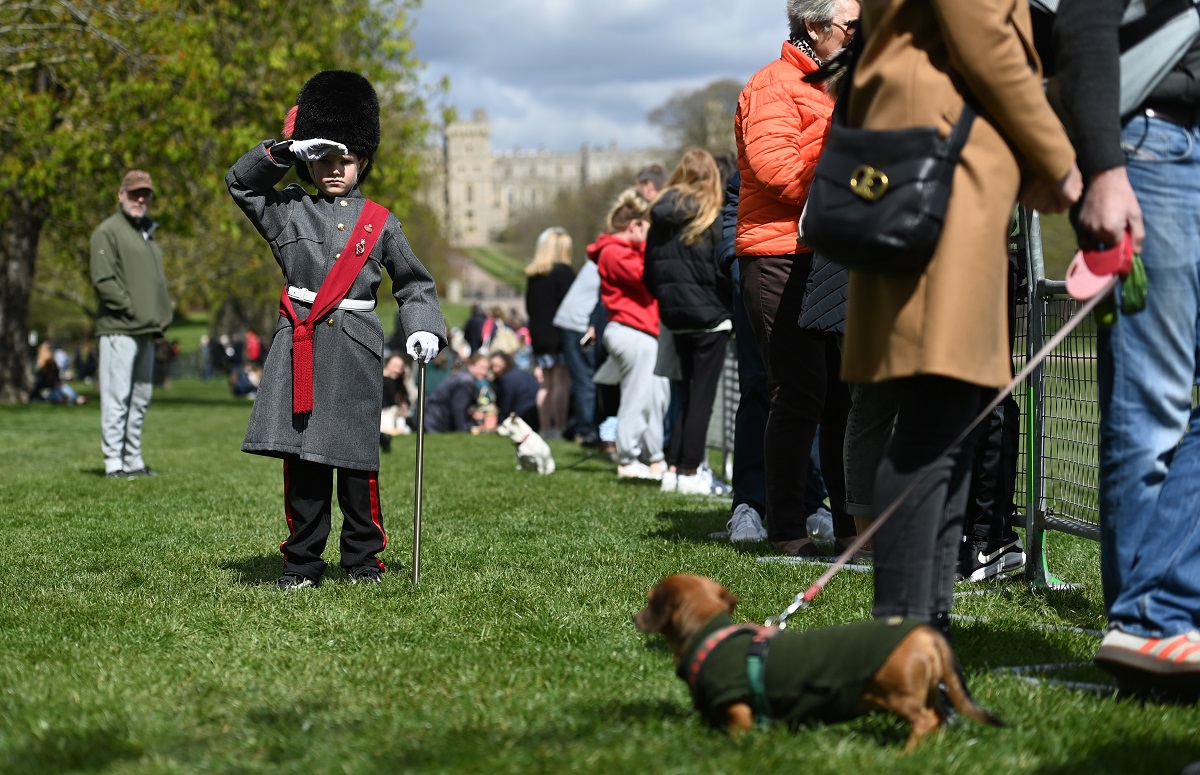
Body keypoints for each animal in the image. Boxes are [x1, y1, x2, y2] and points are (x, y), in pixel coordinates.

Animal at [633, 573, 1008, 748]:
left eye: (649, 600)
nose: (635, 617)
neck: (709, 635)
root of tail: (926, 634)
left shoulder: (739, 709)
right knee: (940, 719)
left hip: (897, 694)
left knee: (926, 721)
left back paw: (905, 754)